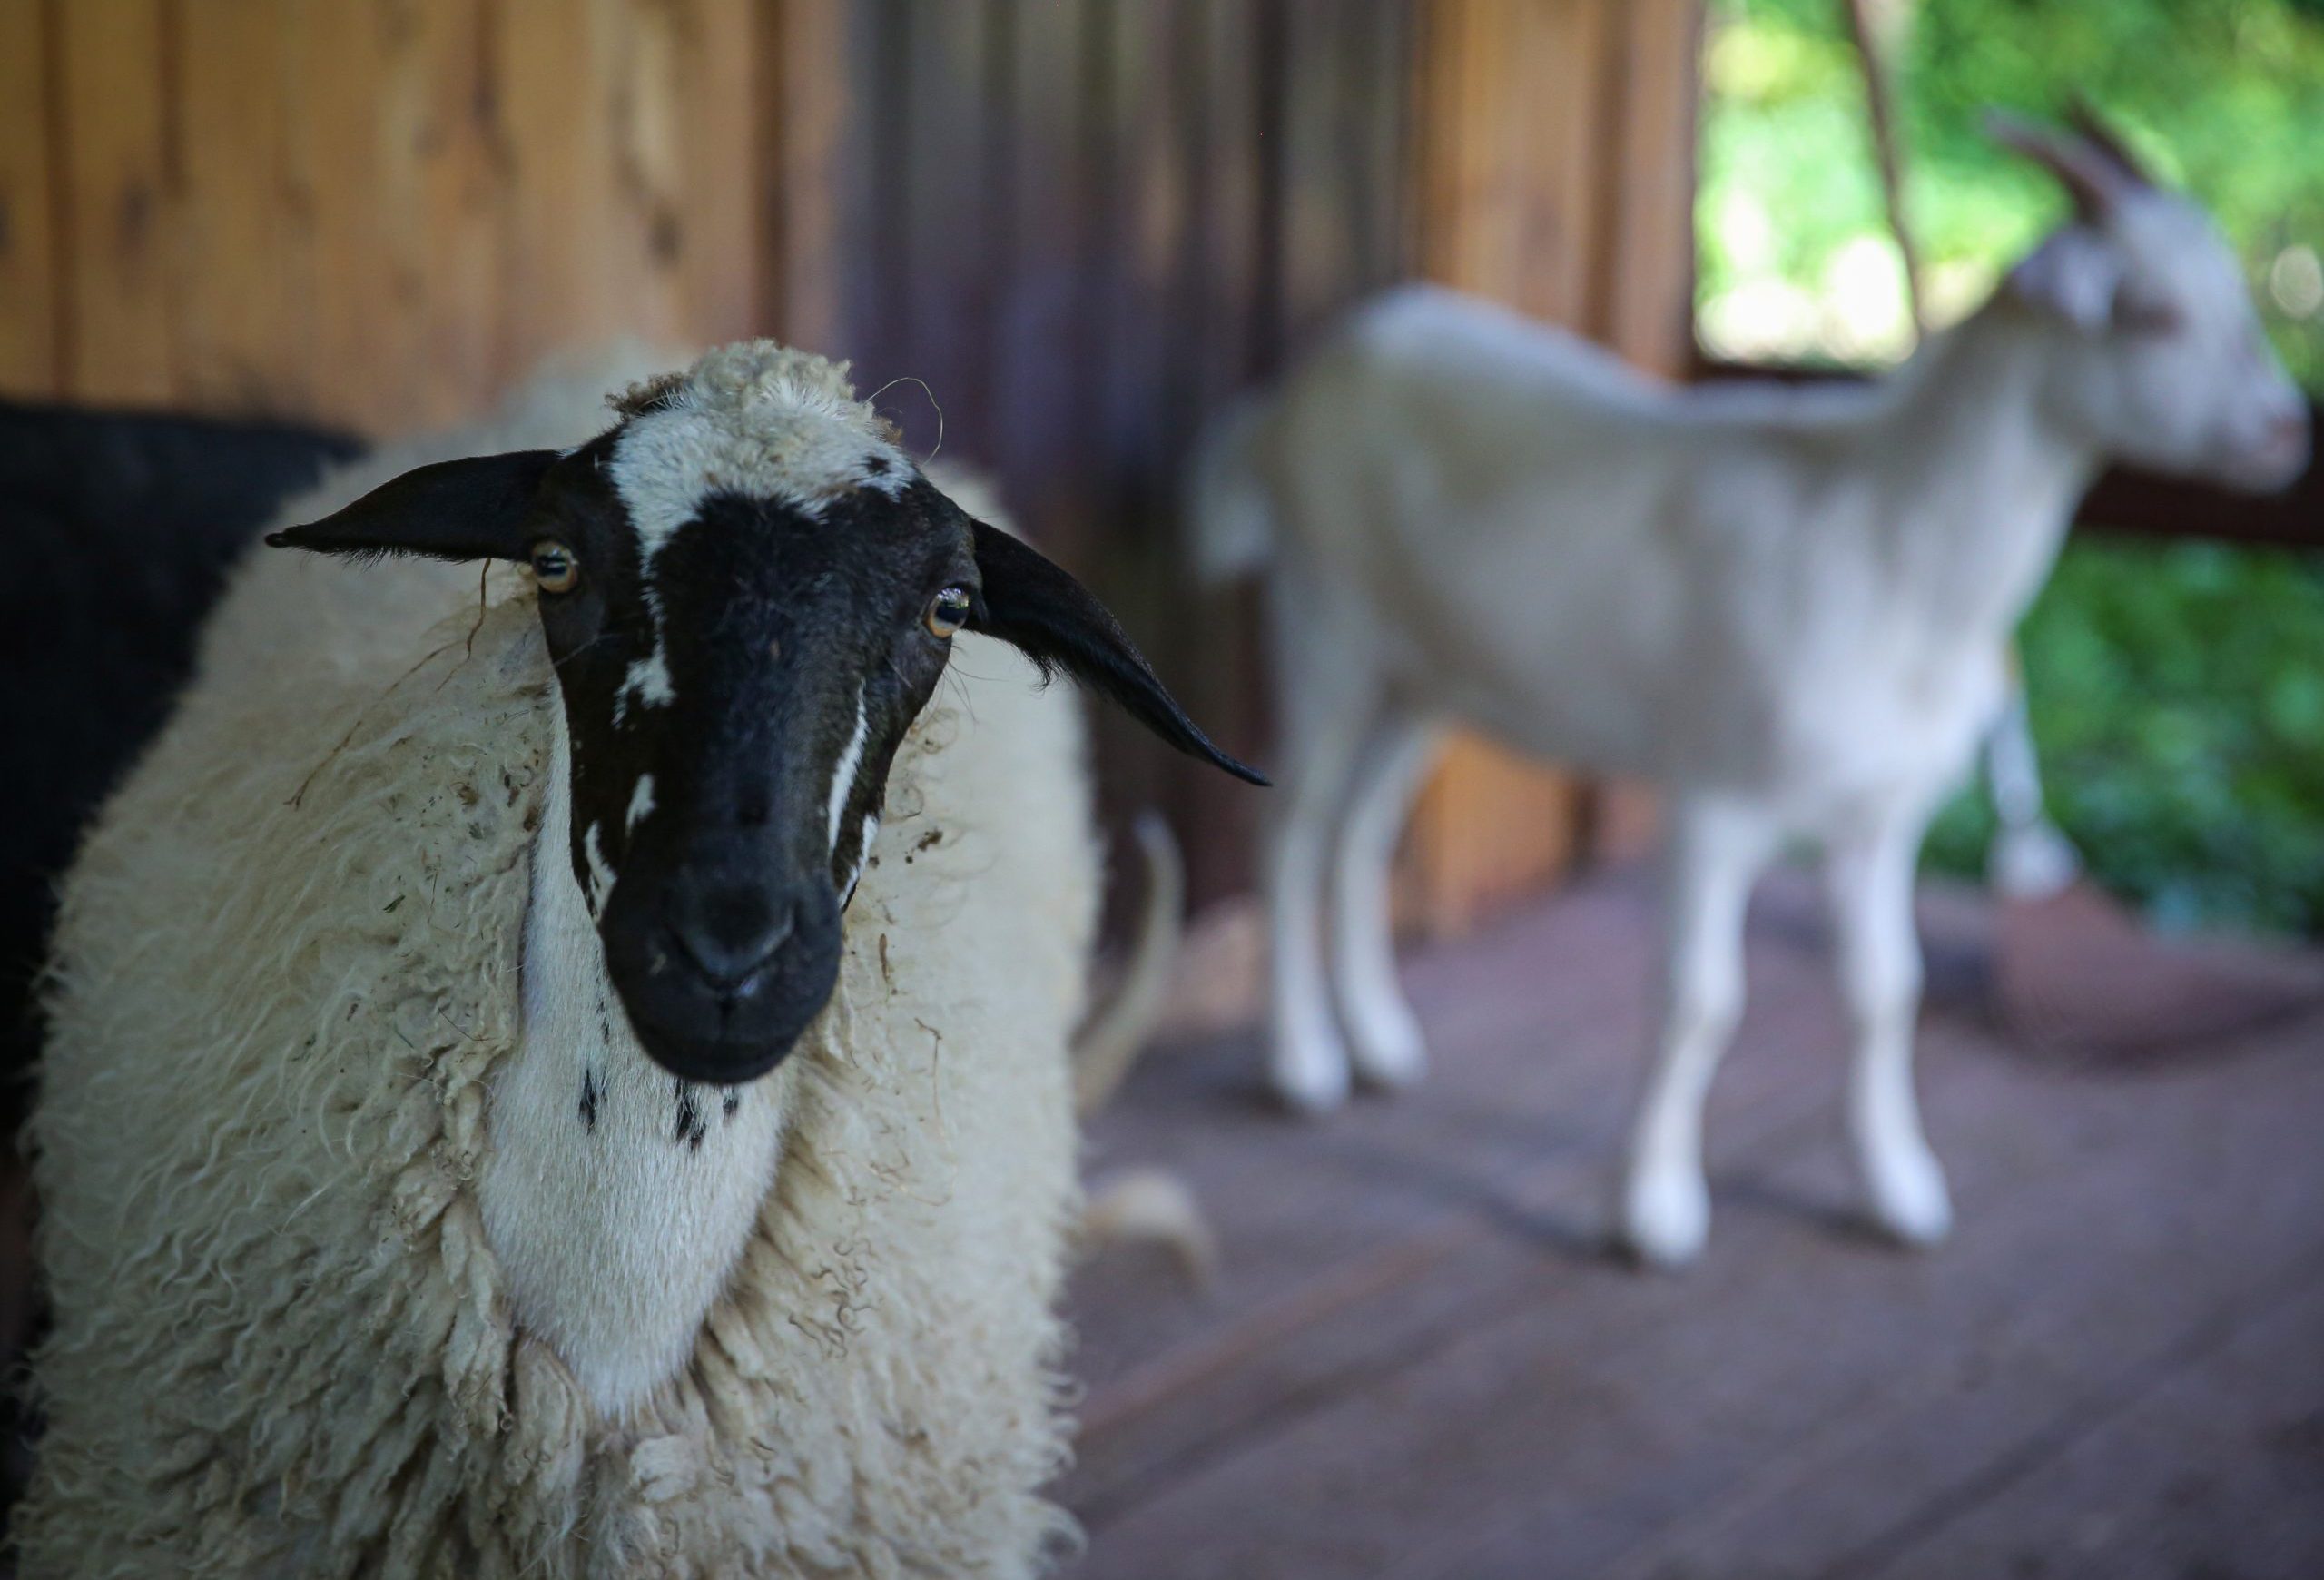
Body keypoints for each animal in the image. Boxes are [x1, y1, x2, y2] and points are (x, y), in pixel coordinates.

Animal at [1198, 114, 2305, 1273]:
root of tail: (1294, 390)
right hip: (1324, 618)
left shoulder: (1880, 817)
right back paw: (1303, 1067)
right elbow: (1698, 1002)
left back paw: (1379, 1045)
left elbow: (1886, 994)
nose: (2285, 433)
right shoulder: (1715, 795)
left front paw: (1897, 1193)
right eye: (2153, 314)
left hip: (1425, 673)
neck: (1893, 550)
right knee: (1293, 825)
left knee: (1360, 830)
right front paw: (1651, 1214)